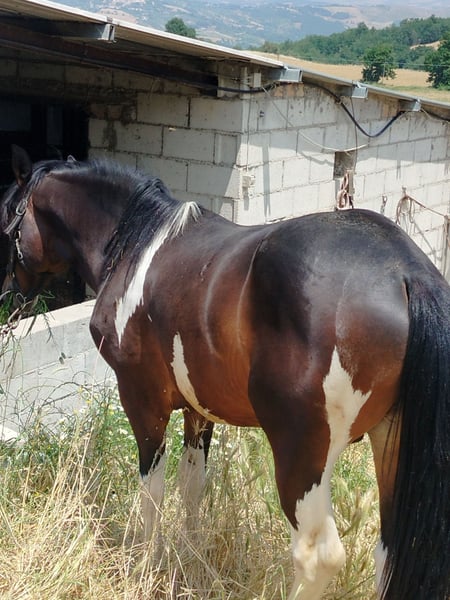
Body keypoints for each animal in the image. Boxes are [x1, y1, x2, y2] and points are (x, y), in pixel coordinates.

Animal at [1, 145, 449, 600]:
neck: (136, 247)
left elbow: (152, 488)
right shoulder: (198, 409)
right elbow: (192, 483)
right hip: (390, 442)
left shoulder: (142, 400)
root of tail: (405, 272)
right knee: (389, 553)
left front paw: (146, 563)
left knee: (317, 557)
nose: (9, 299)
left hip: (303, 455)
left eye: (6, 224)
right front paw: (190, 554)